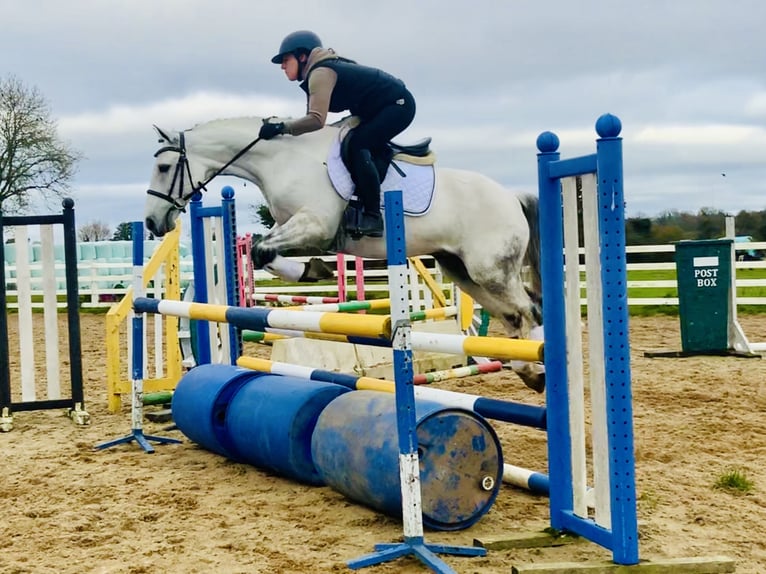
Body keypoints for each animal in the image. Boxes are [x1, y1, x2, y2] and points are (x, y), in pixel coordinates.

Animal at [140, 117, 544, 392]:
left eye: (163, 167)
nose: (152, 222)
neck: (281, 160)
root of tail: (511, 197)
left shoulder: (315, 225)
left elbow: (261, 249)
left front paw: (312, 271)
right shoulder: (299, 229)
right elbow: (262, 251)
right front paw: (312, 271)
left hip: (490, 270)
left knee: (528, 309)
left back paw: (536, 368)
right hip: (461, 270)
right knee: (513, 314)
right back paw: (528, 371)